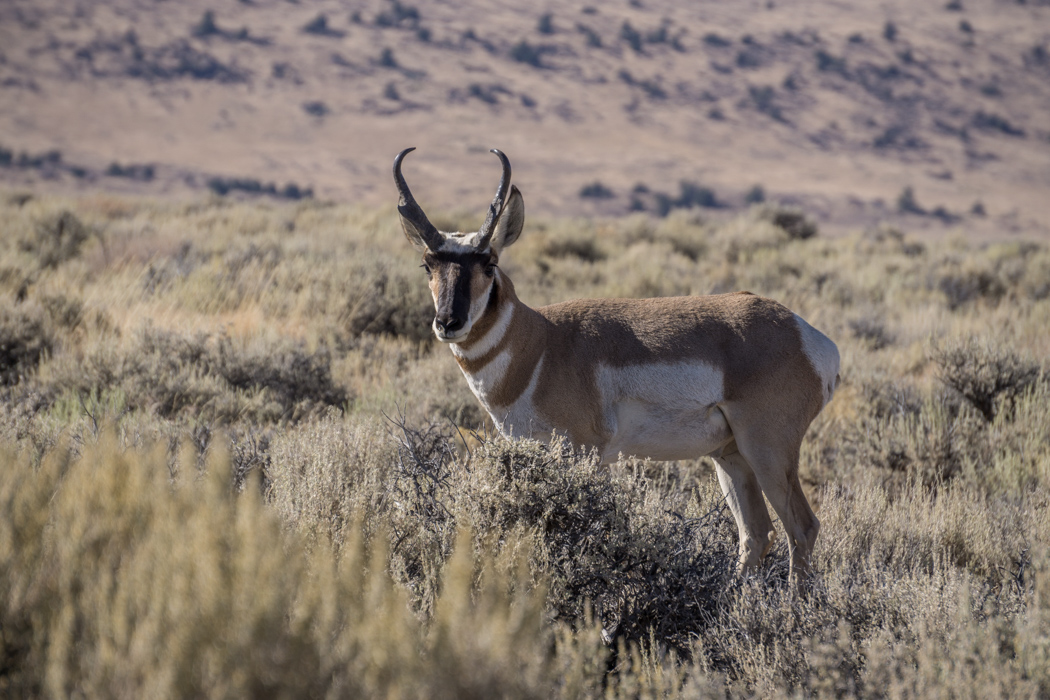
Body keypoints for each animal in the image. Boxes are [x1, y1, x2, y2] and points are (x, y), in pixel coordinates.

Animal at [390, 147, 839, 579]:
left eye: (489, 262)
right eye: (428, 264)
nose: (449, 323)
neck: (542, 341)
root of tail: (804, 333)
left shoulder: (582, 454)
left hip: (767, 451)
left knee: (801, 528)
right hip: (730, 457)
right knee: (757, 535)